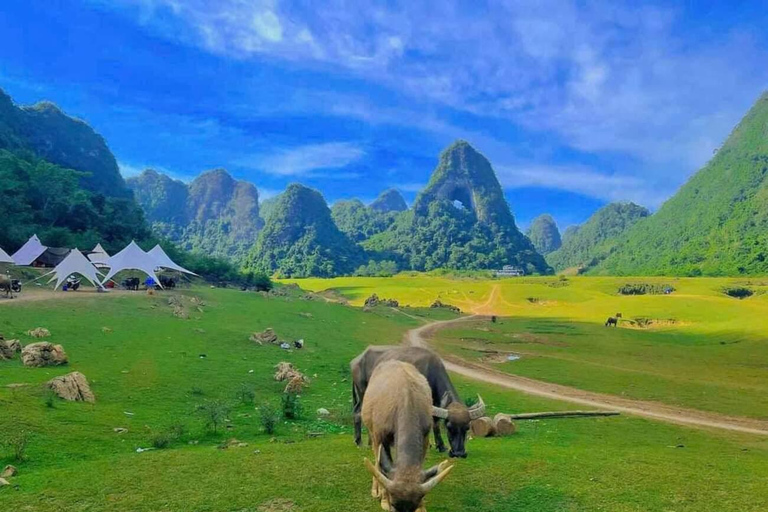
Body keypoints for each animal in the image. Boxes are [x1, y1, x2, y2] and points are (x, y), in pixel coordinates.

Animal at [350, 346, 484, 458]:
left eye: (467, 428)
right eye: (449, 427)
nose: (459, 453)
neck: (431, 372)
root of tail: (356, 361)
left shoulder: (435, 403)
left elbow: (435, 422)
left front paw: (440, 446)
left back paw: (365, 441)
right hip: (363, 392)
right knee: (361, 413)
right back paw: (363, 442)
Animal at [364, 360, 452, 512]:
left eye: (413, 506)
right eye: (393, 505)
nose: (386, 499)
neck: (405, 399)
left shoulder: (425, 437)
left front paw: (422, 507)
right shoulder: (379, 435)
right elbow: (381, 467)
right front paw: (384, 499)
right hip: (372, 432)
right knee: (376, 461)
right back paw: (376, 490)